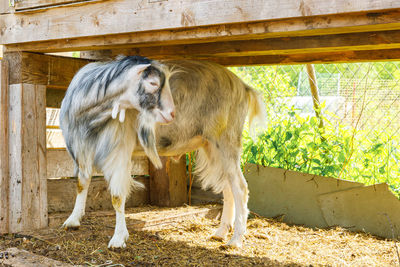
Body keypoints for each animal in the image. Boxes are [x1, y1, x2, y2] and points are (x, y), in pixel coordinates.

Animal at [59, 56, 266, 249]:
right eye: (153, 83)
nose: (172, 114)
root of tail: (243, 87)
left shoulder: (118, 152)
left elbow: (117, 197)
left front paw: (118, 239)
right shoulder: (83, 149)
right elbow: (81, 183)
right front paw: (73, 220)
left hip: (226, 140)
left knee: (240, 187)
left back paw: (236, 239)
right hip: (212, 146)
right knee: (228, 186)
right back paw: (221, 232)